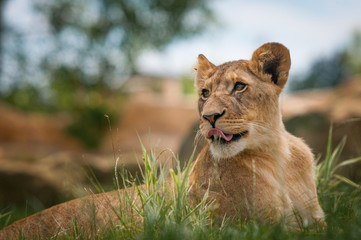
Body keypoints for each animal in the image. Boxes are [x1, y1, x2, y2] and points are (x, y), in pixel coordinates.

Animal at [0, 42, 324, 238]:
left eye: (239, 87)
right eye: (205, 93)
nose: (209, 117)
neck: (276, 154)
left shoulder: (315, 220)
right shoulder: (254, 228)